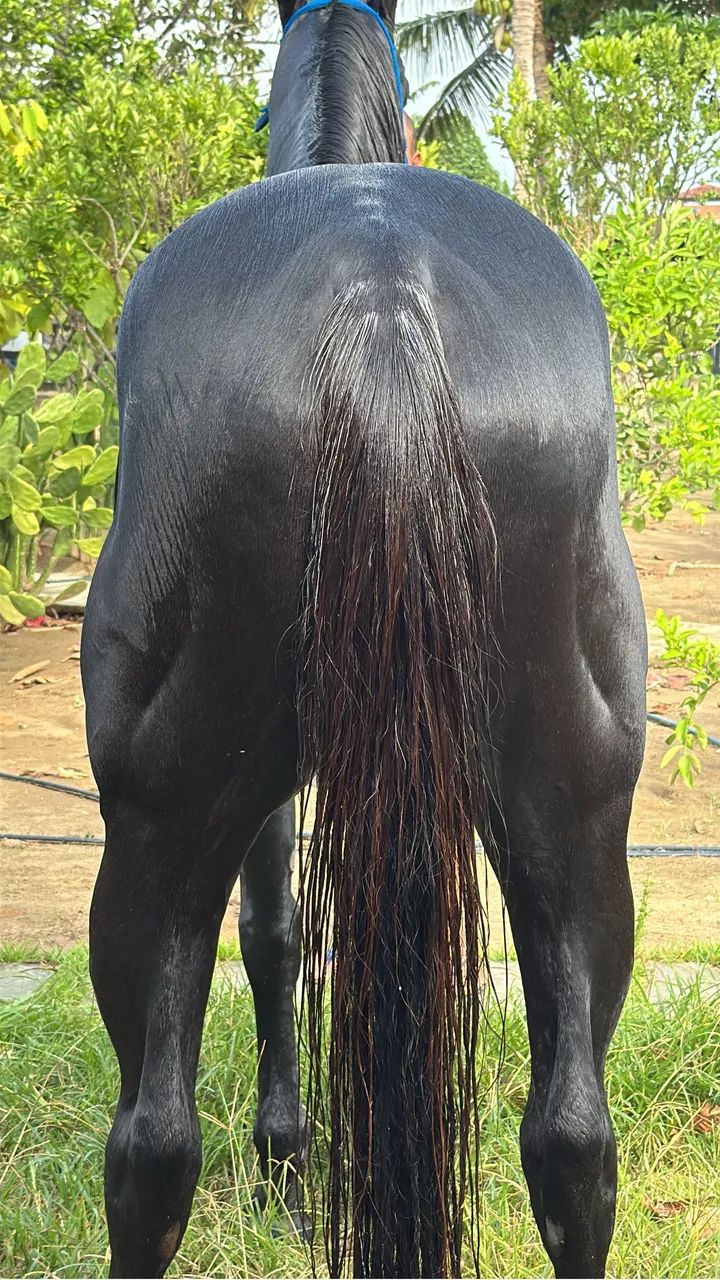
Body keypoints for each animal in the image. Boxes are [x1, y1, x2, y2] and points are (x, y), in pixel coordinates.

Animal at [80, 1, 647, 1276]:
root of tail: (382, 300)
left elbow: (277, 930)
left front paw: (286, 1159)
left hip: (161, 822)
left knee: (150, 1145)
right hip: (573, 819)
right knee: (575, 1144)